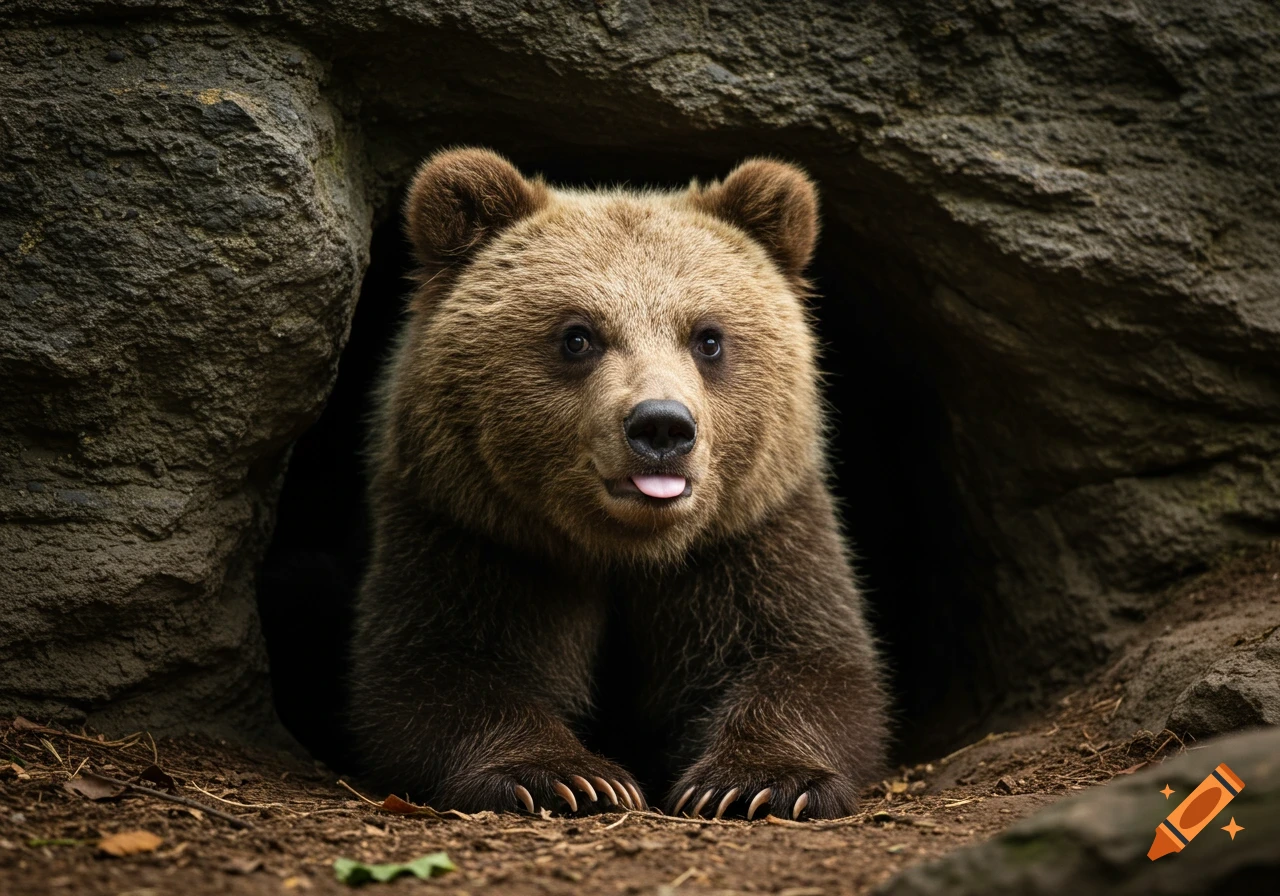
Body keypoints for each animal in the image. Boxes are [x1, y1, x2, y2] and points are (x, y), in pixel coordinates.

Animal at [347, 148, 887, 820]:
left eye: (709, 337)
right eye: (578, 334)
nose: (661, 425)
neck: (625, 548)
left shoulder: (750, 536)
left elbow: (806, 663)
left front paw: (756, 782)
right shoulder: (474, 533)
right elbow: (435, 670)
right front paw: (567, 776)